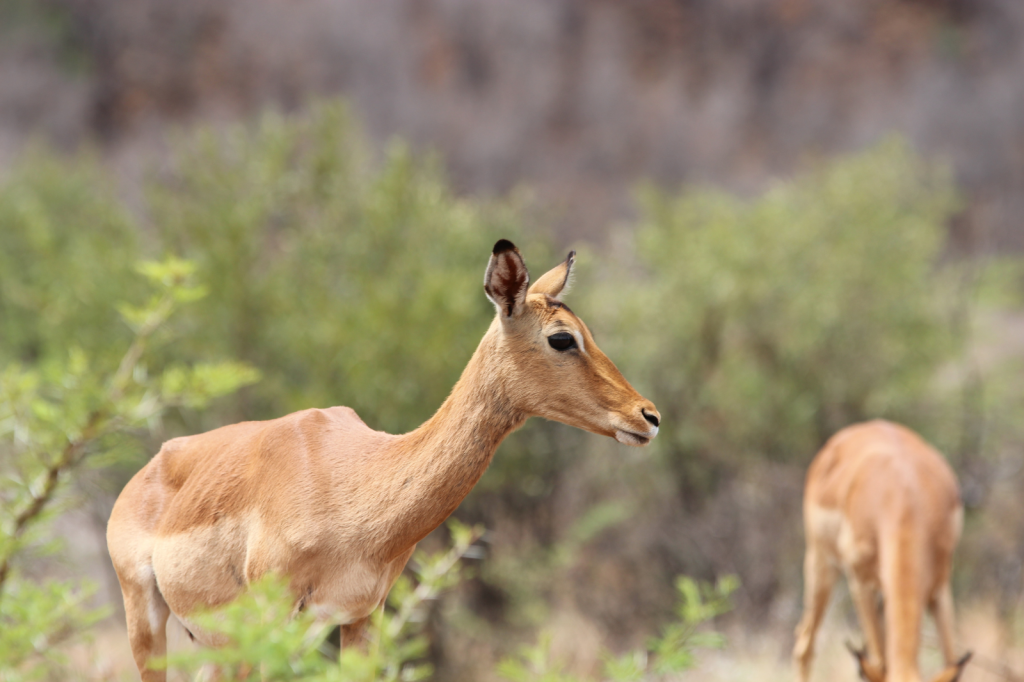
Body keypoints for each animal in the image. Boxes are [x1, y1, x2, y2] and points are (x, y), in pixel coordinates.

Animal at [107, 240, 661, 681]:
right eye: (562, 337)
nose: (648, 416)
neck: (355, 482)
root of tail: (151, 468)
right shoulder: (272, 617)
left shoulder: (359, 617)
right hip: (150, 627)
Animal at [793, 420, 971, 682]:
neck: (904, 498)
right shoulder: (861, 584)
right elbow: (880, 662)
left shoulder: (940, 586)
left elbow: (950, 659)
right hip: (821, 563)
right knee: (805, 645)